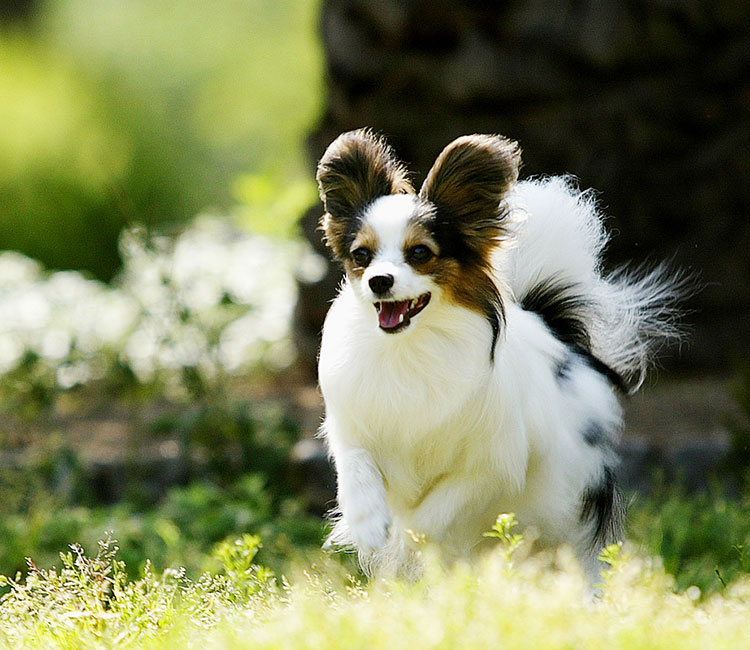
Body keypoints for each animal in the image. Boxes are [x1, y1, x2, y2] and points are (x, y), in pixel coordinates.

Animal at [314, 129, 684, 580]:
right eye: (361, 257)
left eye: (420, 253)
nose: (379, 281)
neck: (410, 347)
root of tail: (556, 331)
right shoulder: (354, 428)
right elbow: (356, 469)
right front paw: (368, 525)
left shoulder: (488, 468)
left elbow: (430, 516)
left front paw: (404, 541)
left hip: (567, 508)